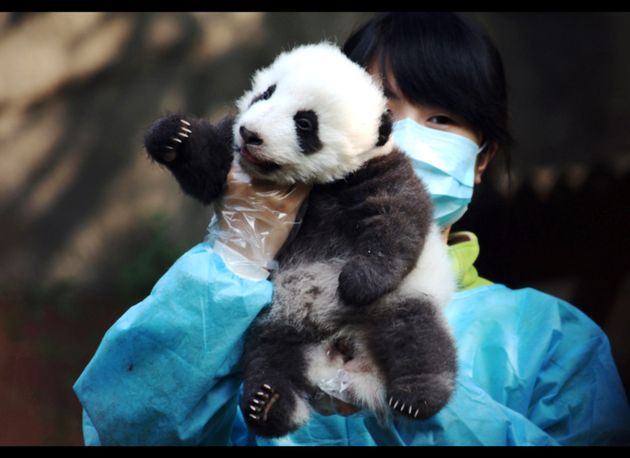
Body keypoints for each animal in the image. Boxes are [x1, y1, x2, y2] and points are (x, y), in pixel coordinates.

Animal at [144, 42, 460, 436]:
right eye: (266, 94)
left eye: (305, 123)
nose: (250, 134)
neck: (318, 185)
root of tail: (340, 350)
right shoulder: (231, 153)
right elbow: (208, 172)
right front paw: (174, 136)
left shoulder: (379, 173)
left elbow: (397, 223)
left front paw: (358, 281)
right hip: (275, 321)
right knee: (271, 359)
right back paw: (268, 405)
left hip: (401, 300)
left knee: (417, 339)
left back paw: (417, 395)